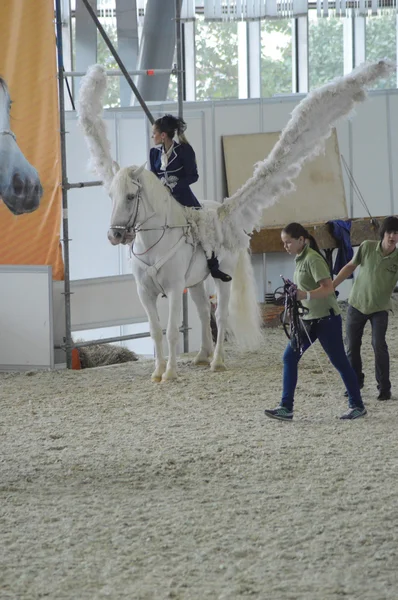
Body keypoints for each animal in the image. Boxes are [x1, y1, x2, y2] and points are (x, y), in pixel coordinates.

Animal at [77, 59, 392, 380]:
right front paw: (157, 373)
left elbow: (172, 331)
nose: (115, 235)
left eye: (131, 197)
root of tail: (224, 215)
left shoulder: (175, 288)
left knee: (220, 314)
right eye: (111, 196)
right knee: (204, 312)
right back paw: (202, 356)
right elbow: (155, 332)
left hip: (221, 276)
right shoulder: (145, 292)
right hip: (197, 281)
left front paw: (171, 373)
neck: (154, 242)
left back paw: (217, 361)